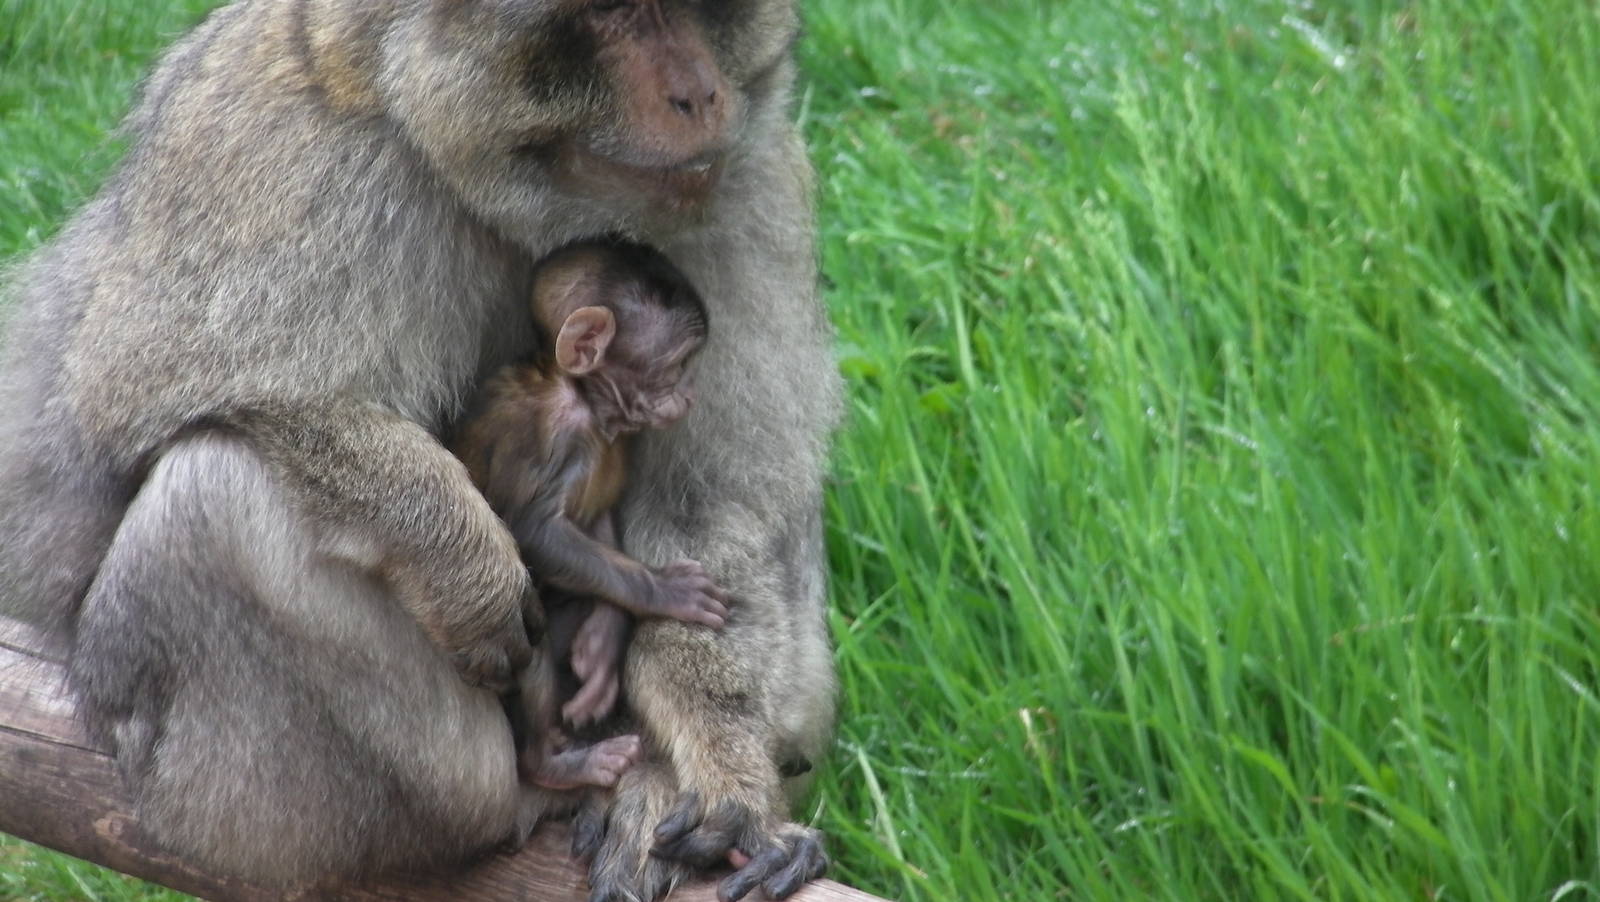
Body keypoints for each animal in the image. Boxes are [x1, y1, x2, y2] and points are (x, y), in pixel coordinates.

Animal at [453, 239, 729, 788]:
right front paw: (667, 590)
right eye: (678, 365)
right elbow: (534, 532)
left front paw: (603, 646)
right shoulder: (552, 436)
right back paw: (553, 764)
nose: (689, 396)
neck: (583, 397)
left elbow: (597, 528)